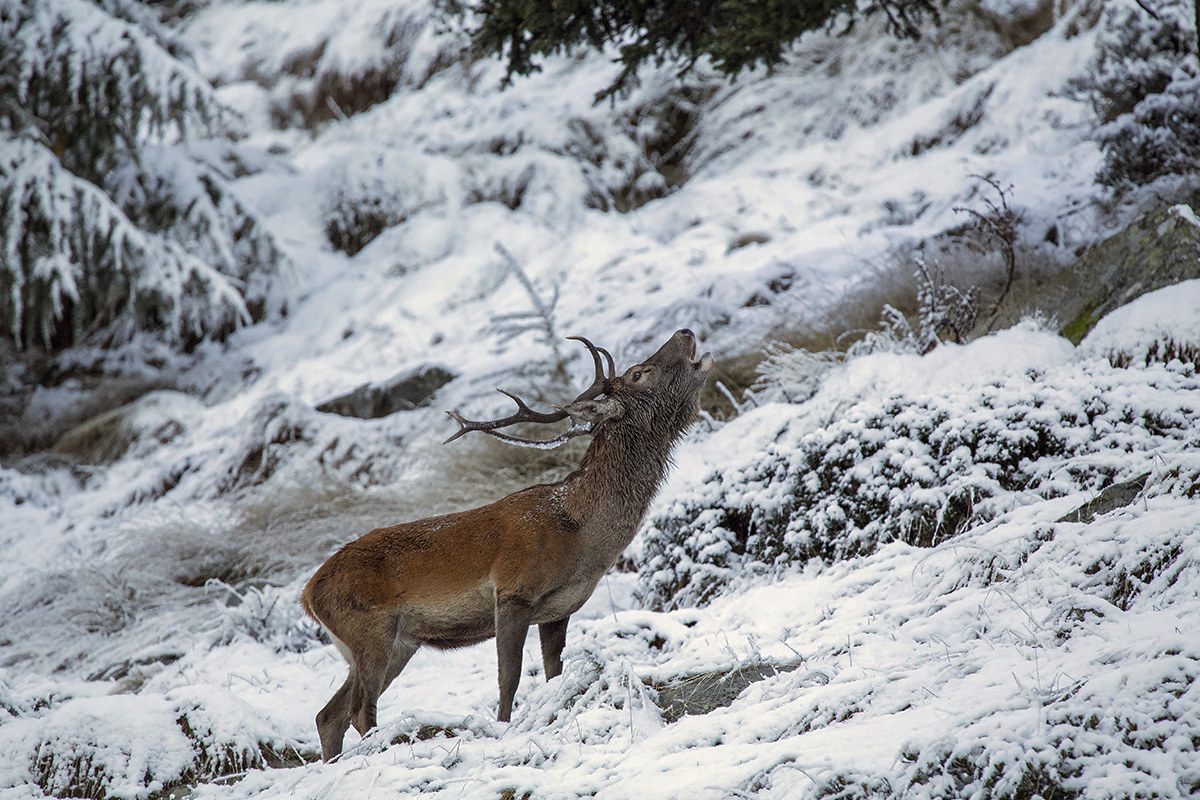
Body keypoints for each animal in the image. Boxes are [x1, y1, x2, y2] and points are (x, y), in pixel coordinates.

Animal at [301, 328, 714, 761]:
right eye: (638, 373)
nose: (685, 333)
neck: (582, 534)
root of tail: (308, 595)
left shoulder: (558, 609)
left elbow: (553, 674)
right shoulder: (514, 592)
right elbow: (509, 678)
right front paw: (503, 730)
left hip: (391, 643)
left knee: (329, 715)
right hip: (369, 632)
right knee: (360, 710)